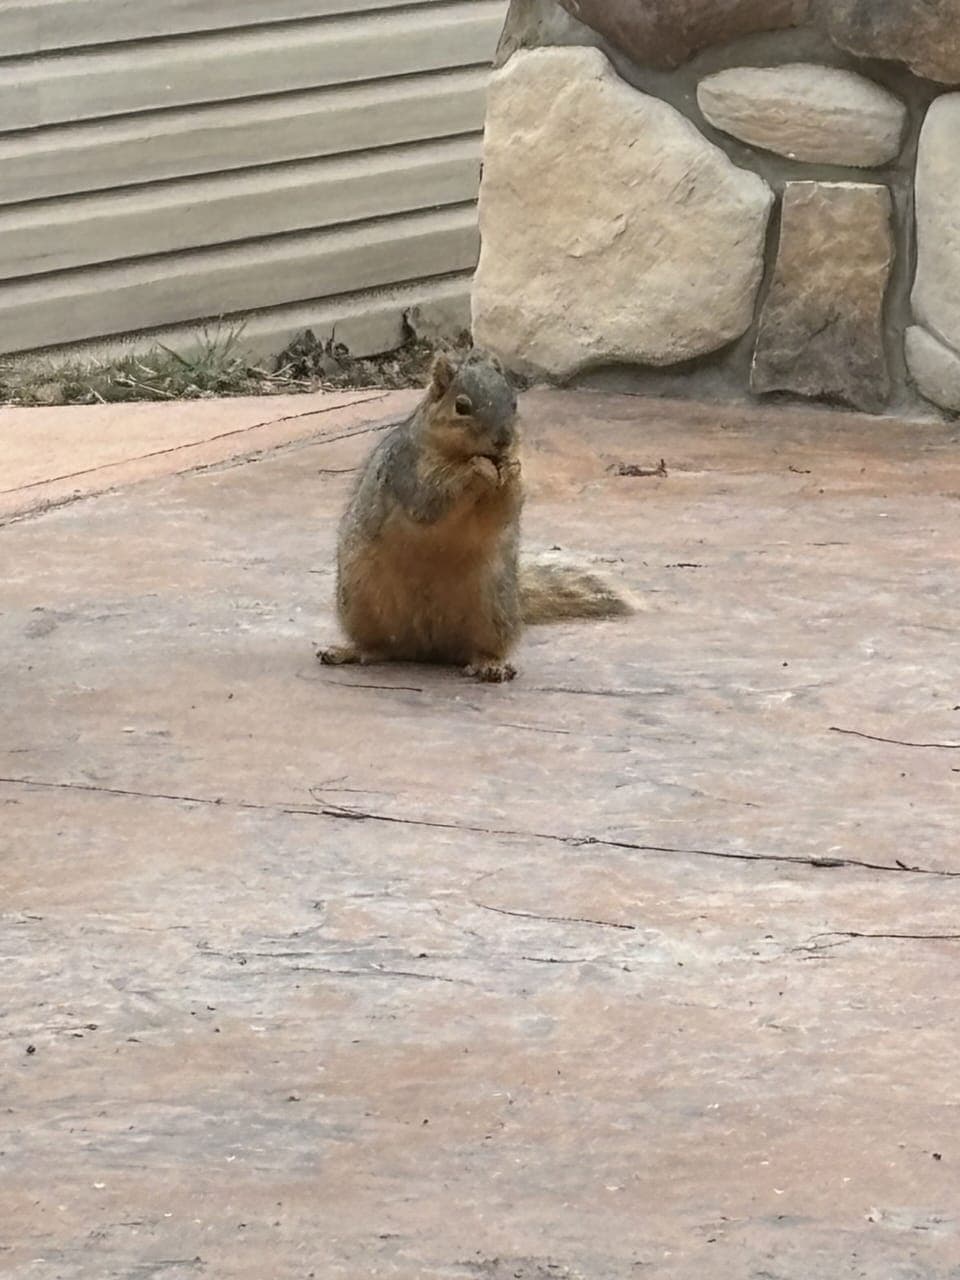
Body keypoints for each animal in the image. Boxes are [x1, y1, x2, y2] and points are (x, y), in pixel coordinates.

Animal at [317, 347, 632, 683]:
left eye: (514, 402)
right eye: (461, 406)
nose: (503, 440)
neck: (460, 455)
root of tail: (425, 650)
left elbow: (503, 510)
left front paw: (511, 471)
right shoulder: (408, 473)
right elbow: (431, 501)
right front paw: (477, 470)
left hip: (493, 608)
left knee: (474, 650)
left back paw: (489, 665)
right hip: (360, 602)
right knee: (378, 648)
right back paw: (347, 651)